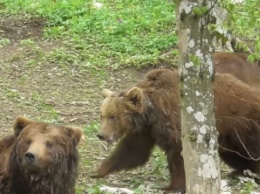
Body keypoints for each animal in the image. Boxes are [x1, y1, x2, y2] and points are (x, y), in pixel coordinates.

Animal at [92, 69, 260, 193]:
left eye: (113, 116)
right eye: (102, 115)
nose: (101, 134)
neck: (151, 113)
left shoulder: (173, 121)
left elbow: (178, 154)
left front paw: (173, 187)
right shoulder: (146, 131)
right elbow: (132, 151)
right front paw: (98, 170)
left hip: (243, 124)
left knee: (252, 150)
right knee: (233, 154)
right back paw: (240, 171)